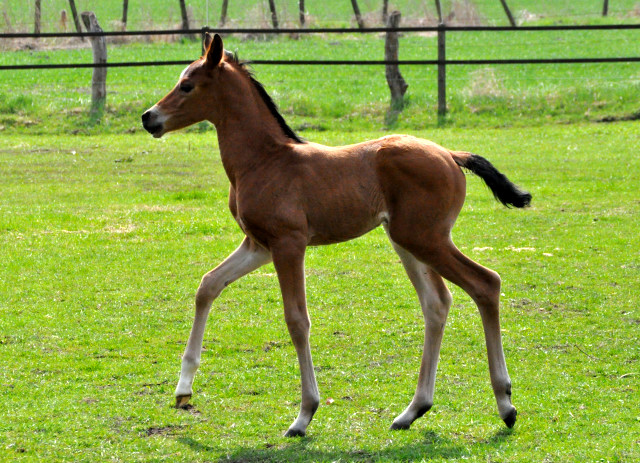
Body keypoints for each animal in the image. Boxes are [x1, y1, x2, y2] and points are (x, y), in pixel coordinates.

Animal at [144, 33, 528, 438]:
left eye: (187, 85)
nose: (148, 117)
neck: (265, 160)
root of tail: (451, 154)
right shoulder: (258, 245)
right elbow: (208, 285)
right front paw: (183, 389)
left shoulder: (289, 244)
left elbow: (297, 320)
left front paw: (304, 414)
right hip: (407, 241)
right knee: (436, 303)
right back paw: (413, 410)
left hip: (427, 239)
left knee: (486, 283)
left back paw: (505, 404)